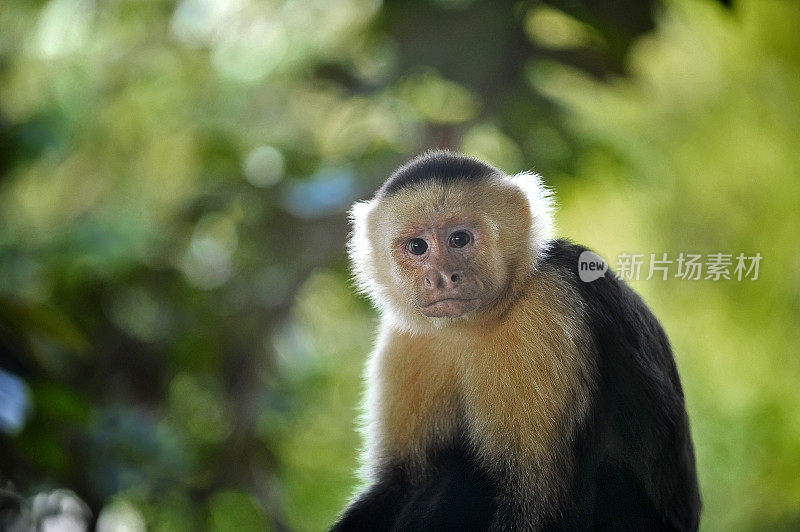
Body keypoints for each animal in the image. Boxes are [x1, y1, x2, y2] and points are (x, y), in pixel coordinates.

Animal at [332, 152, 700, 528]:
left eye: (459, 239)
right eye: (417, 247)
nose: (442, 278)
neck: (471, 325)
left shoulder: (547, 311)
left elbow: (538, 504)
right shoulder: (406, 339)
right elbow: (399, 481)